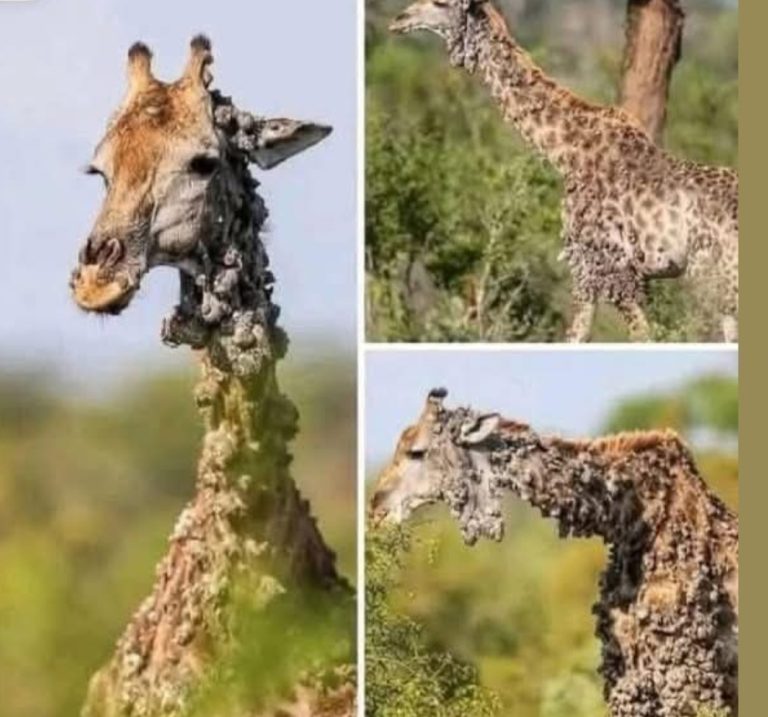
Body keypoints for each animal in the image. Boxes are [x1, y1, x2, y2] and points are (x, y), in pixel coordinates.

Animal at [390, 0, 739, 342]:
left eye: (441, 3)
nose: (399, 19)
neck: (567, 153)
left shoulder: (605, 264)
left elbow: (623, 335)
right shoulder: (596, 268)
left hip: (719, 277)